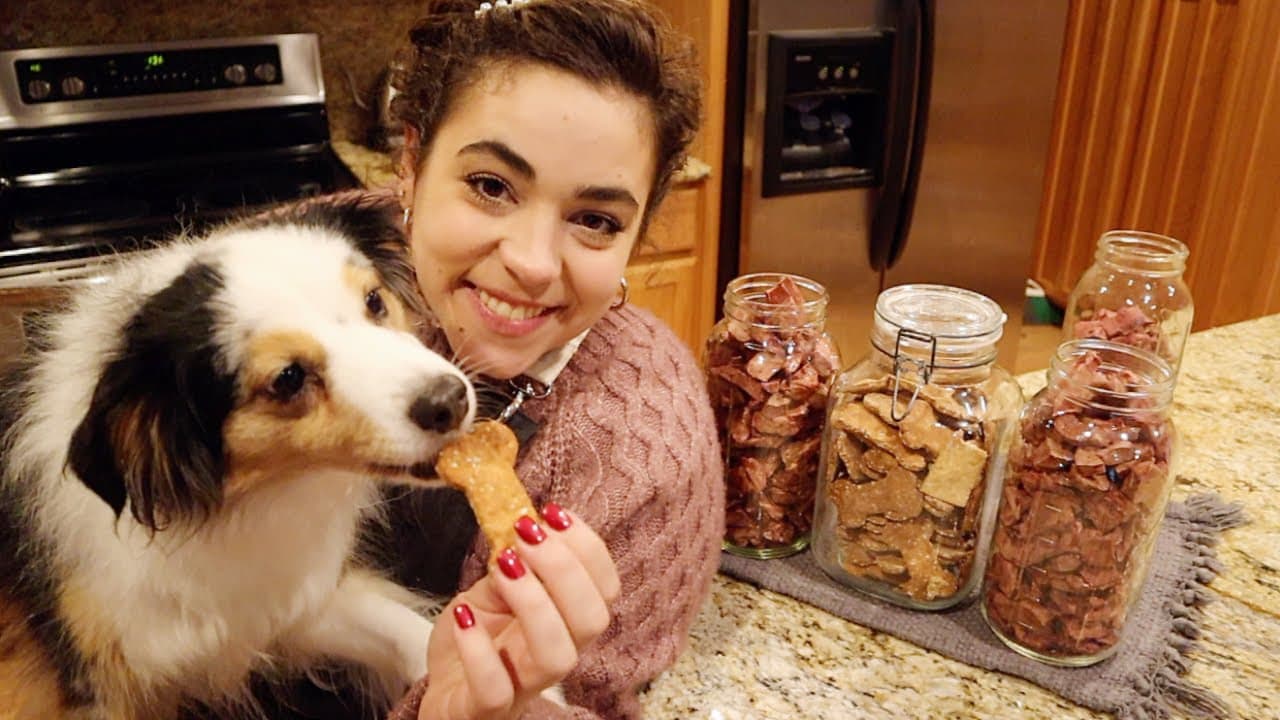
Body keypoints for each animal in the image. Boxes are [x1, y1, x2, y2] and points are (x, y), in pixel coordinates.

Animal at [0, 193, 476, 712]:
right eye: (288, 378)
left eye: (374, 300)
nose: (450, 401)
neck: (240, 504)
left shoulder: (285, 607)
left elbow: (408, 630)